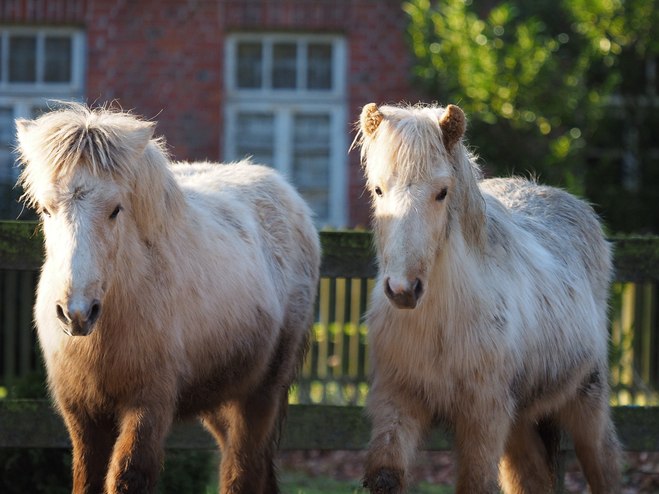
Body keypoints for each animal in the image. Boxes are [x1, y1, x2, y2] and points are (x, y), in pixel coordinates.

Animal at [16, 104, 320, 494]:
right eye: (45, 209)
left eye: (116, 209)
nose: (77, 314)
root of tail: (290, 199)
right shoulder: (82, 415)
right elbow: (86, 479)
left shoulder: (149, 405)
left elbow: (127, 476)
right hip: (220, 395)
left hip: (261, 393)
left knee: (243, 469)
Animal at [356, 103, 620, 494]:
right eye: (378, 190)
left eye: (442, 192)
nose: (403, 290)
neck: (444, 320)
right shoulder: (397, 401)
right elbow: (386, 476)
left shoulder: (484, 415)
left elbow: (476, 483)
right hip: (521, 420)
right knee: (530, 477)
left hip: (587, 399)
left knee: (604, 464)